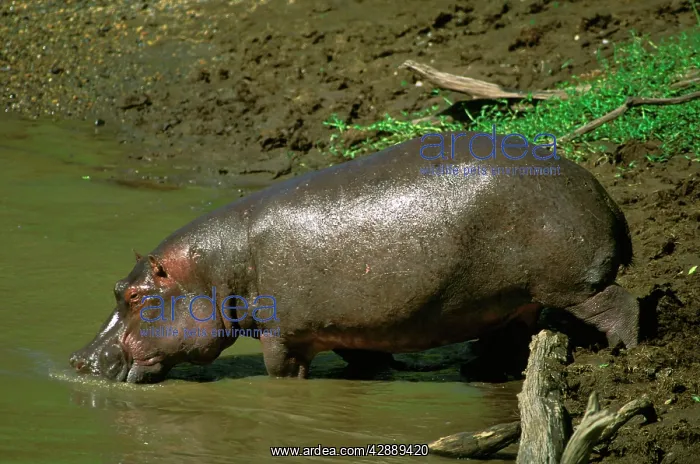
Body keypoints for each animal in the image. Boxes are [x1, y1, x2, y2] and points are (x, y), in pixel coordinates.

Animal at [70, 130, 640, 383]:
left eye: (135, 296)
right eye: (116, 289)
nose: (77, 359)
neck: (216, 269)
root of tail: (601, 191)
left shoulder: (286, 336)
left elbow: (282, 374)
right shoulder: (353, 327)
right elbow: (366, 361)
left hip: (573, 284)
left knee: (620, 305)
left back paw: (625, 356)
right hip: (509, 300)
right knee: (513, 337)